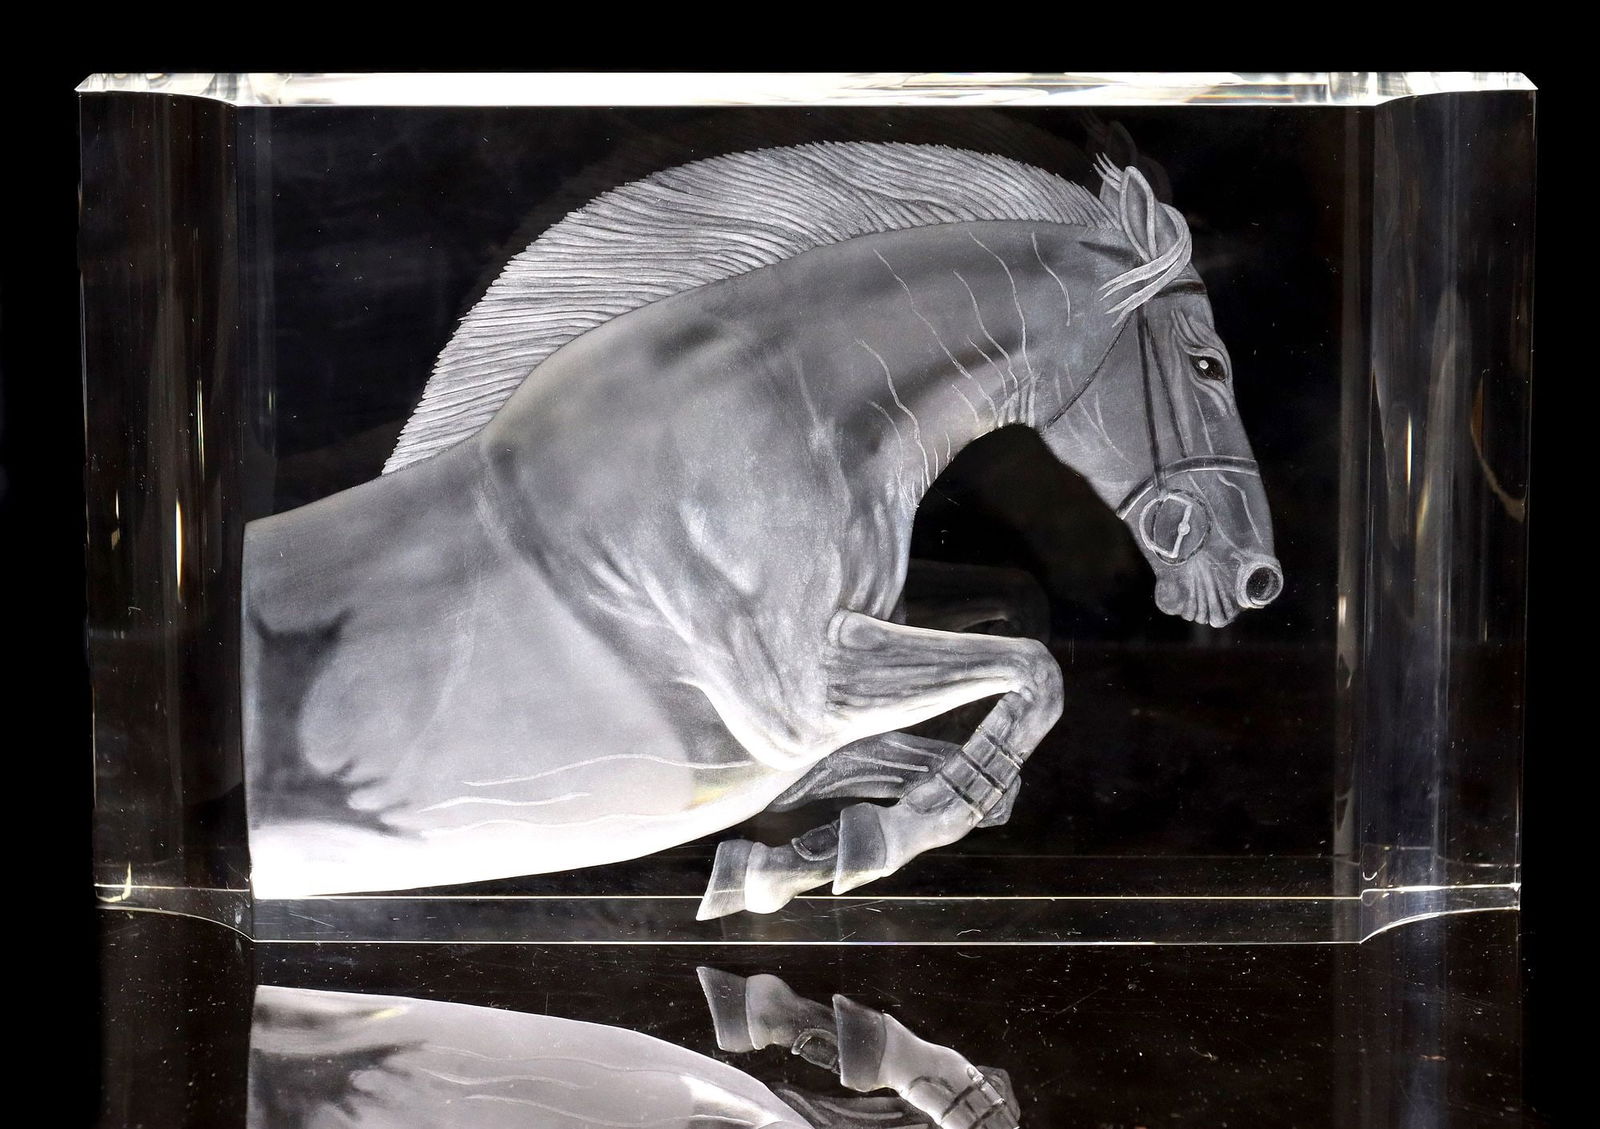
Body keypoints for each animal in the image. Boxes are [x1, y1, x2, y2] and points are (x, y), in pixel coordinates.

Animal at [242, 142, 1283, 915]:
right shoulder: (798, 699)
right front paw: (846, 851)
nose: (1256, 577)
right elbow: (1036, 671)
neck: (791, 418)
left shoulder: (783, 736)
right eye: (1208, 364)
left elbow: (995, 722)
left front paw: (788, 863)